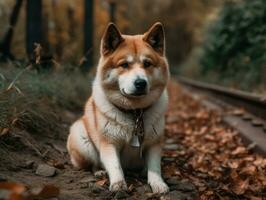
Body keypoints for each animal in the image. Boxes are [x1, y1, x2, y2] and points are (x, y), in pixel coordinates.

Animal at [67, 21, 170, 194]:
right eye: (124, 65)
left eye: (147, 63)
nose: (141, 83)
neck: (135, 113)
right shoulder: (109, 143)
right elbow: (115, 166)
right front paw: (118, 184)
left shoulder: (154, 144)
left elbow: (155, 167)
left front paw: (158, 183)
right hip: (81, 138)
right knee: (92, 164)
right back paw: (99, 172)